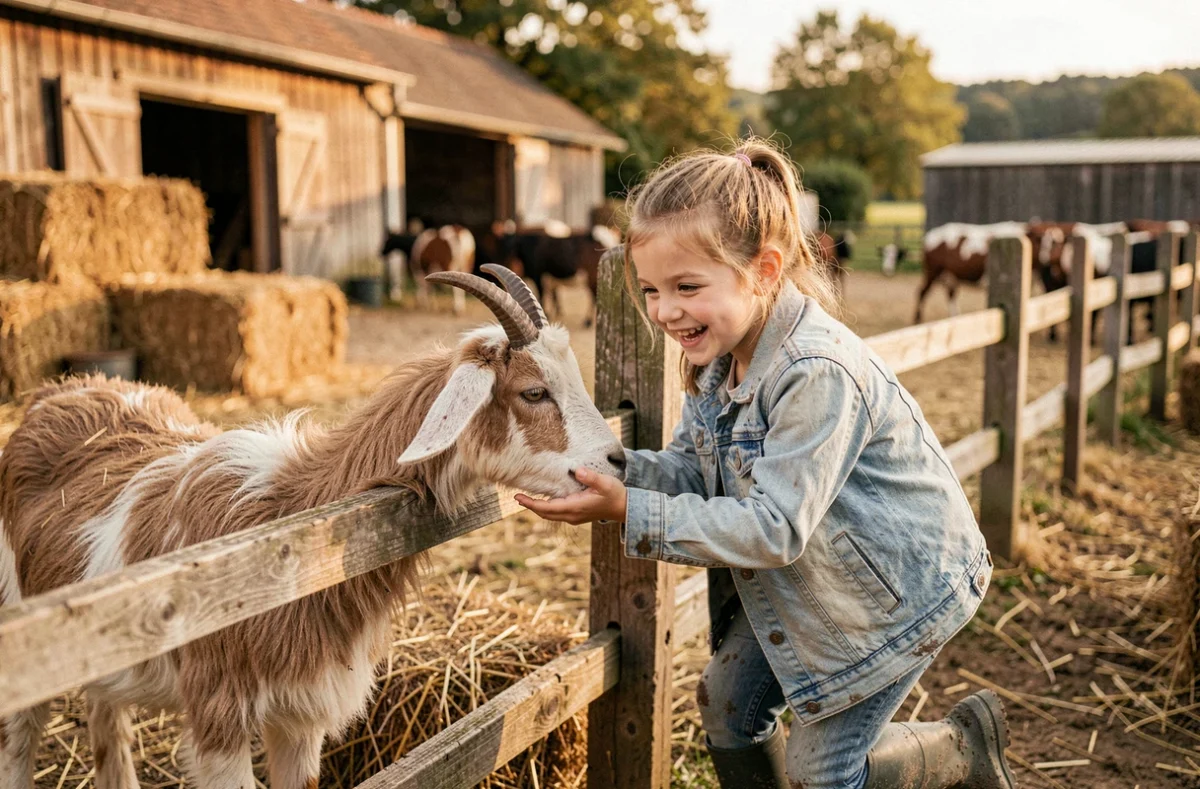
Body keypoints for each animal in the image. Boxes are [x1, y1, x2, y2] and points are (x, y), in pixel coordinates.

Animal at [0, 265, 624, 789]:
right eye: (533, 391)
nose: (617, 460)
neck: (292, 528)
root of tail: (57, 391)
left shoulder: (301, 717)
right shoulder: (219, 719)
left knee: (105, 718)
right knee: (19, 742)